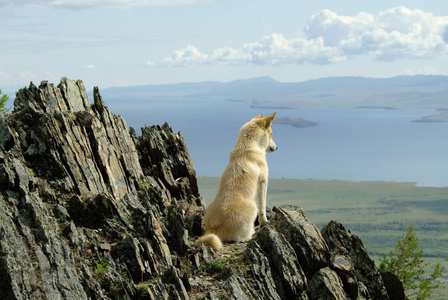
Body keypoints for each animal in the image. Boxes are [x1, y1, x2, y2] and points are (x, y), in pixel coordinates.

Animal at [199, 112, 276, 248]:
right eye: (271, 134)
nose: (277, 147)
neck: (248, 145)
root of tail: (213, 230)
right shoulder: (263, 182)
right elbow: (263, 207)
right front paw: (265, 222)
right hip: (253, 207)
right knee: (245, 236)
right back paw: (253, 232)